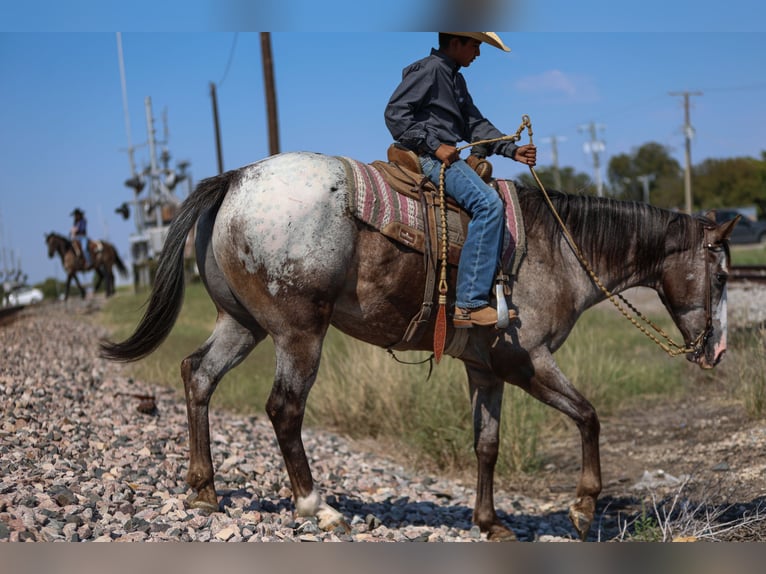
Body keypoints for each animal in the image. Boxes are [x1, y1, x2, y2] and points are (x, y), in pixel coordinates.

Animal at [99, 151, 740, 544]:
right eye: (723, 275)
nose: (715, 353)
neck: (556, 248)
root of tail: (235, 179)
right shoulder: (526, 359)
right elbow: (588, 416)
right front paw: (583, 508)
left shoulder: (486, 368)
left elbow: (487, 445)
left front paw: (489, 522)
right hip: (298, 332)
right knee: (283, 408)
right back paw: (316, 507)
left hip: (242, 323)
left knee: (197, 375)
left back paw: (204, 490)